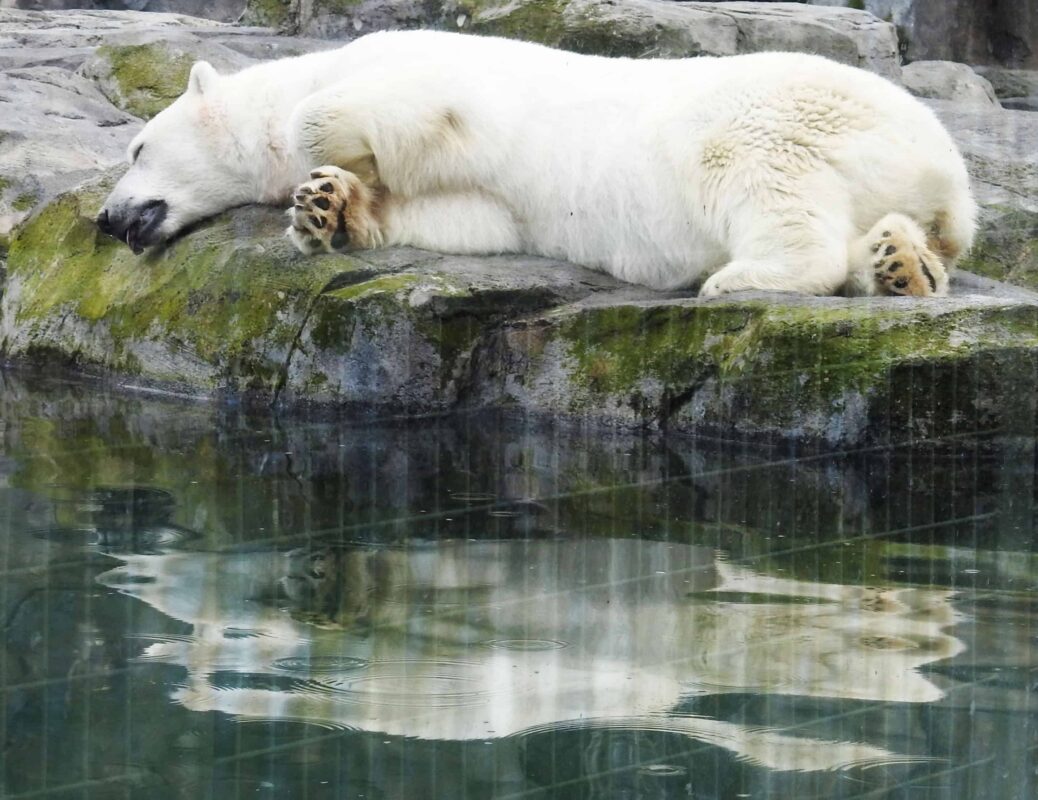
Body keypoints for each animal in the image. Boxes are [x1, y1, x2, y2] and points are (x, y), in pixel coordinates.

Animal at [93, 28, 975, 298]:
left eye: (135, 147)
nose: (104, 218)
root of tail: (946, 167)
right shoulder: (490, 202)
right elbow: (466, 217)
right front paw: (327, 208)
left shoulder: (426, 72)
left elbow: (384, 112)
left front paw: (322, 175)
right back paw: (901, 264)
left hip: (779, 114)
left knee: (760, 175)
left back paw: (746, 276)